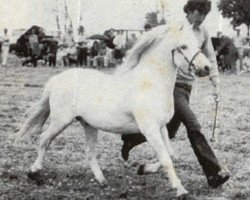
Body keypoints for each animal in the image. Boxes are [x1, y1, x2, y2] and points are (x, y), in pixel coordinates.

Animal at [18, 19, 211, 198]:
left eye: (197, 44)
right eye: (184, 46)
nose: (206, 68)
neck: (150, 83)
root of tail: (56, 80)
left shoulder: (161, 127)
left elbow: (171, 155)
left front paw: (144, 168)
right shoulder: (149, 129)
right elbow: (166, 159)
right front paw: (180, 190)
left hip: (88, 125)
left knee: (89, 152)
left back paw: (102, 181)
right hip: (61, 121)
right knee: (44, 139)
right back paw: (34, 171)